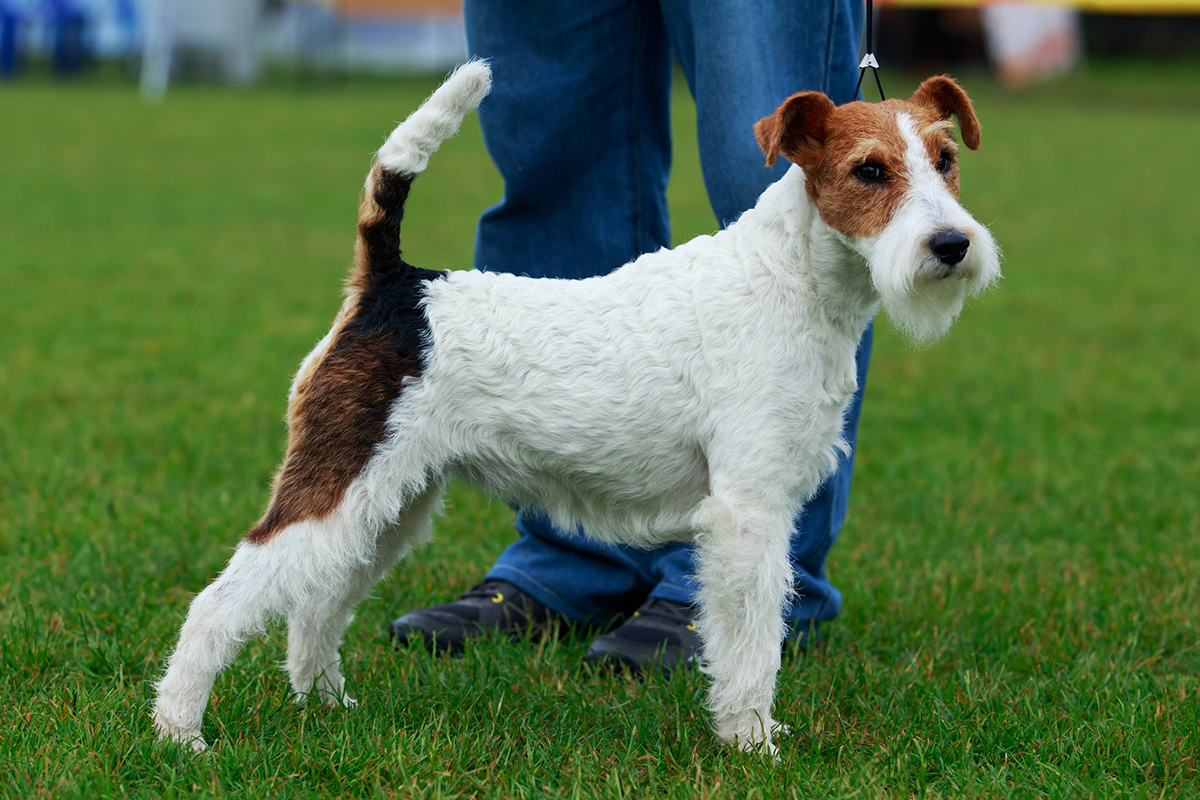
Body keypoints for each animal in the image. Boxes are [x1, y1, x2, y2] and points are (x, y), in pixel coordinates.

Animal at [157, 59, 1003, 753]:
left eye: (946, 159)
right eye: (870, 170)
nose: (952, 246)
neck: (788, 280)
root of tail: (393, 283)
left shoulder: (769, 500)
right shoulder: (748, 511)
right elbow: (750, 643)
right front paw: (752, 742)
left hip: (392, 499)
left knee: (317, 606)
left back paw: (328, 707)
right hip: (341, 476)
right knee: (220, 603)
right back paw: (179, 734)